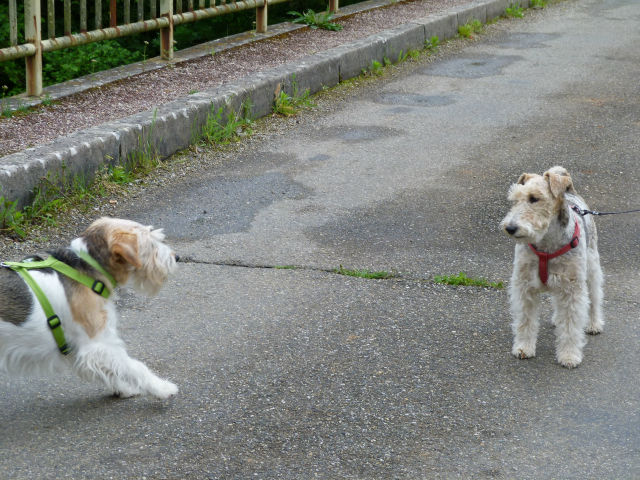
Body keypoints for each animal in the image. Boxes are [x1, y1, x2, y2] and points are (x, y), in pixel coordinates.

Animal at [1, 218, 180, 398]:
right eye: (151, 243)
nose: (177, 257)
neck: (87, 267)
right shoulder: (98, 344)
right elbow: (135, 367)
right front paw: (162, 387)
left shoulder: (80, 348)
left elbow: (109, 371)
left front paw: (124, 388)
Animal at [500, 166, 604, 368]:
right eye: (514, 200)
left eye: (534, 198)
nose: (510, 228)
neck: (546, 245)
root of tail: (570, 191)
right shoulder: (524, 286)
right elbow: (525, 320)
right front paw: (523, 348)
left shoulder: (572, 288)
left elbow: (571, 326)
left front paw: (569, 356)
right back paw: (558, 319)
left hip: (591, 268)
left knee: (595, 298)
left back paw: (594, 324)